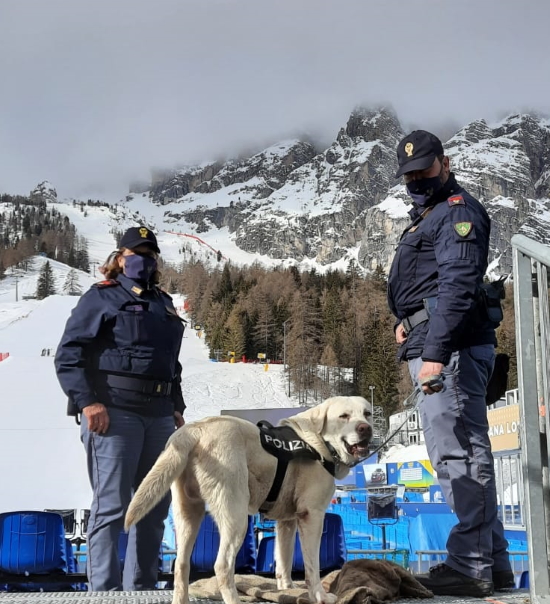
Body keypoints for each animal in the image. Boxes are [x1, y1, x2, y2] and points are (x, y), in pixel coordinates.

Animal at [126, 396, 376, 604]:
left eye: (367, 413)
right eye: (344, 416)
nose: (366, 428)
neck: (318, 441)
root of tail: (195, 430)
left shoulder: (287, 522)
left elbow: (284, 561)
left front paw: (286, 588)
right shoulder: (311, 515)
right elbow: (312, 566)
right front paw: (319, 596)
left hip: (187, 512)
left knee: (181, 564)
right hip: (236, 515)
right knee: (223, 565)